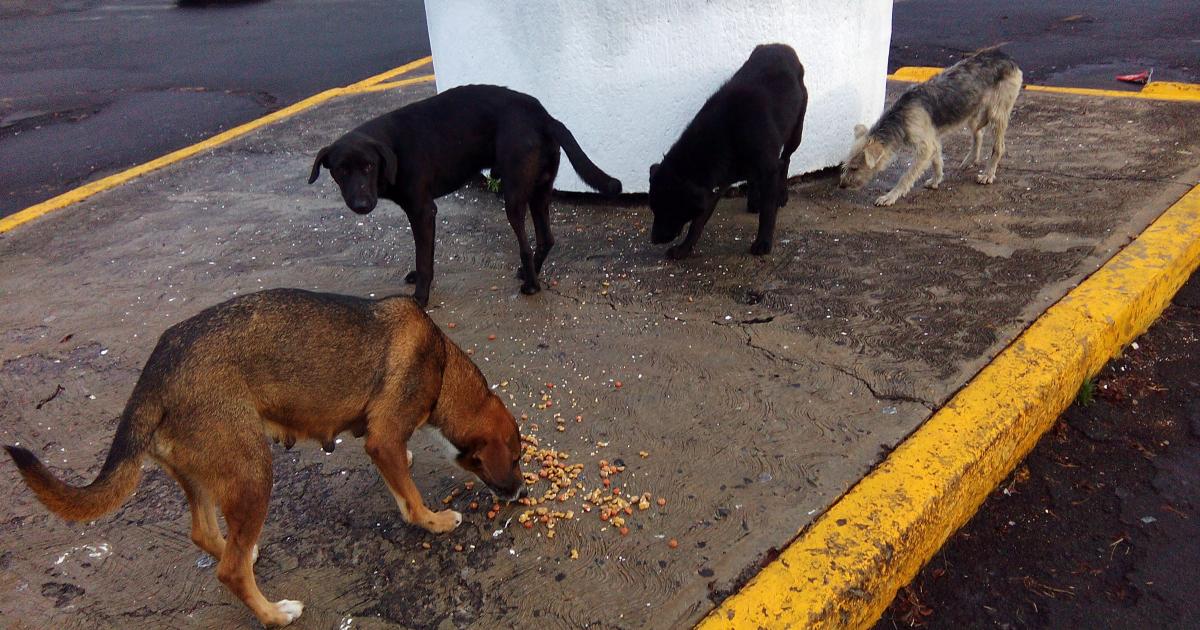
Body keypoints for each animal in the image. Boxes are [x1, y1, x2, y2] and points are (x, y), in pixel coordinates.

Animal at [4, 286, 523, 624]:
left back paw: (245, 554)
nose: (519, 491)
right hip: (255, 471)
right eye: (517, 459)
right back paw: (274, 613)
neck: (443, 365)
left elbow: (401, 476)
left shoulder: (384, 442)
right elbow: (411, 500)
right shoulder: (384, 437)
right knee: (229, 570)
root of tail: (154, 374)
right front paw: (435, 522)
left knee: (208, 537)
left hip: (209, 475)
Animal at [304, 84, 624, 306]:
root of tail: (544, 116)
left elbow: (424, 257)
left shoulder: (422, 210)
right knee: (546, 238)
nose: (361, 205)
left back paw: (531, 286)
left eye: (369, 166)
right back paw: (529, 271)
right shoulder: (424, 214)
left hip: (514, 196)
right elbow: (426, 255)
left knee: (524, 242)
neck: (392, 149)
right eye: (341, 170)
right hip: (539, 191)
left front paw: (420, 298)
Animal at [652, 44, 811, 258]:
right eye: (654, 208)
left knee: (786, 160)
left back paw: (781, 195)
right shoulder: (715, 184)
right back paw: (754, 200)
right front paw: (684, 248)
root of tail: (780, 46)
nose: (653, 239)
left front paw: (763, 242)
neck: (724, 134)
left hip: (795, 133)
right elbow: (697, 223)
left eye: (668, 208)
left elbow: (768, 211)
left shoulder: (768, 170)